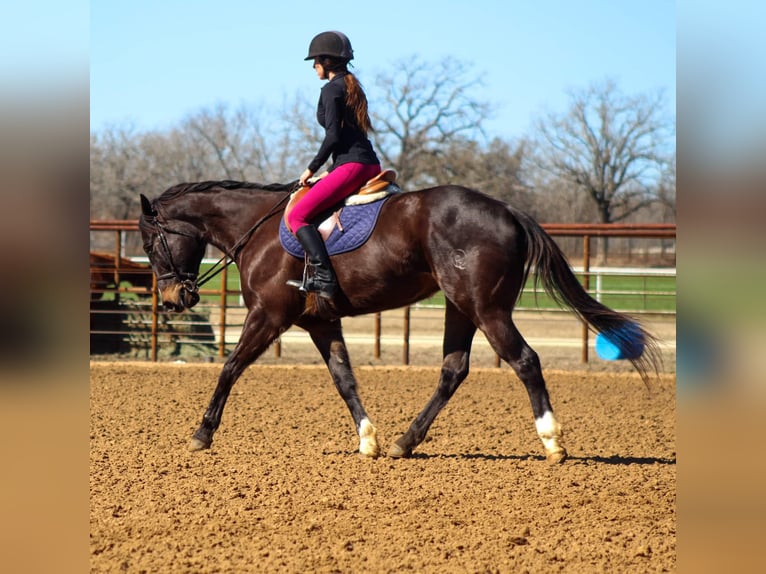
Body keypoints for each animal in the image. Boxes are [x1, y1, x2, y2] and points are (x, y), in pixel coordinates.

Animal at [138, 180, 660, 464]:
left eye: (148, 242)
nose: (173, 299)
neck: (260, 230)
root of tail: (509, 211)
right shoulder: (321, 324)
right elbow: (344, 379)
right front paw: (367, 439)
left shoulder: (268, 315)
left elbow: (230, 368)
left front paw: (202, 434)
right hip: (460, 307)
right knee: (454, 370)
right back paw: (404, 442)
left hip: (486, 309)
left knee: (525, 360)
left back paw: (552, 443)